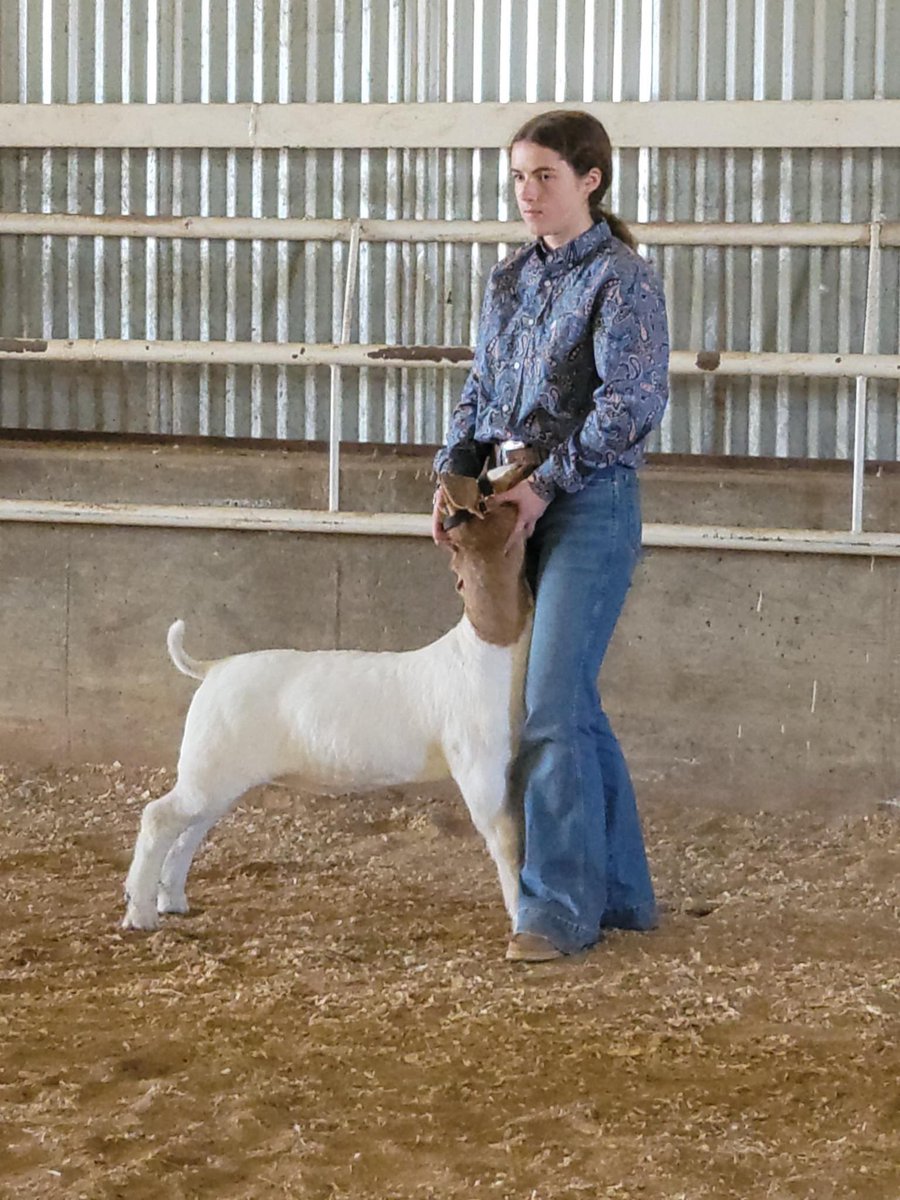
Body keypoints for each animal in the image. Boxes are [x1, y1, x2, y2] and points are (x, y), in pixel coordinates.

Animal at [122, 468, 533, 934]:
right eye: (489, 493)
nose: (519, 471)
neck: (485, 648)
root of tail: (214, 668)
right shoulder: (480, 763)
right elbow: (503, 836)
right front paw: (519, 914)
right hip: (208, 764)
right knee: (159, 817)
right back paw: (140, 914)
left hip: (219, 773)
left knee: (190, 829)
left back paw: (172, 900)